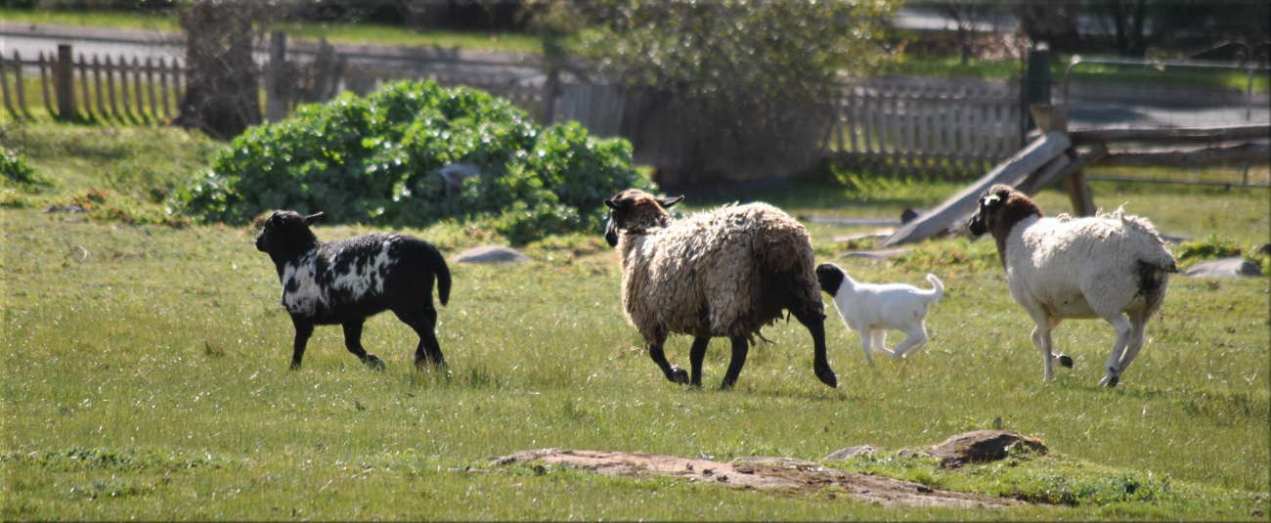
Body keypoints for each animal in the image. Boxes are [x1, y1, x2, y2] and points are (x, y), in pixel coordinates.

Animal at [254, 210, 451, 370]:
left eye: (267, 226)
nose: (256, 240)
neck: (298, 256)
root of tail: (427, 249)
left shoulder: (301, 315)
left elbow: (299, 346)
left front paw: (293, 370)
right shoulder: (352, 317)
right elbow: (352, 344)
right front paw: (376, 364)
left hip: (406, 304)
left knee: (425, 328)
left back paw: (439, 365)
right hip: (423, 297)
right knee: (431, 319)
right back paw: (421, 359)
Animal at [603, 189, 838, 389]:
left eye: (612, 212)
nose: (607, 236)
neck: (645, 232)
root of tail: (775, 234)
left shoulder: (649, 316)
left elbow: (655, 353)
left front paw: (678, 375)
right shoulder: (701, 313)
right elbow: (696, 352)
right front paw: (695, 383)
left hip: (730, 294)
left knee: (741, 345)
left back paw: (726, 384)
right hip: (801, 282)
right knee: (815, 323)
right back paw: (825, 372)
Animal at [967, 184, 1177, 387]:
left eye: (982, 204)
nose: (970, 224)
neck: (1015, 233)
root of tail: (1152, 249)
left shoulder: (1033, 303)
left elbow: (1045, 340)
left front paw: (1048, 377)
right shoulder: (1056, 310)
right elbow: (1035, 336)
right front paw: (1064, 360)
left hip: (1106, 299)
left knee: (1124, 330)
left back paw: (1110, 370)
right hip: (1144, 306)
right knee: (1137, 342)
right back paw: (1110, 378)